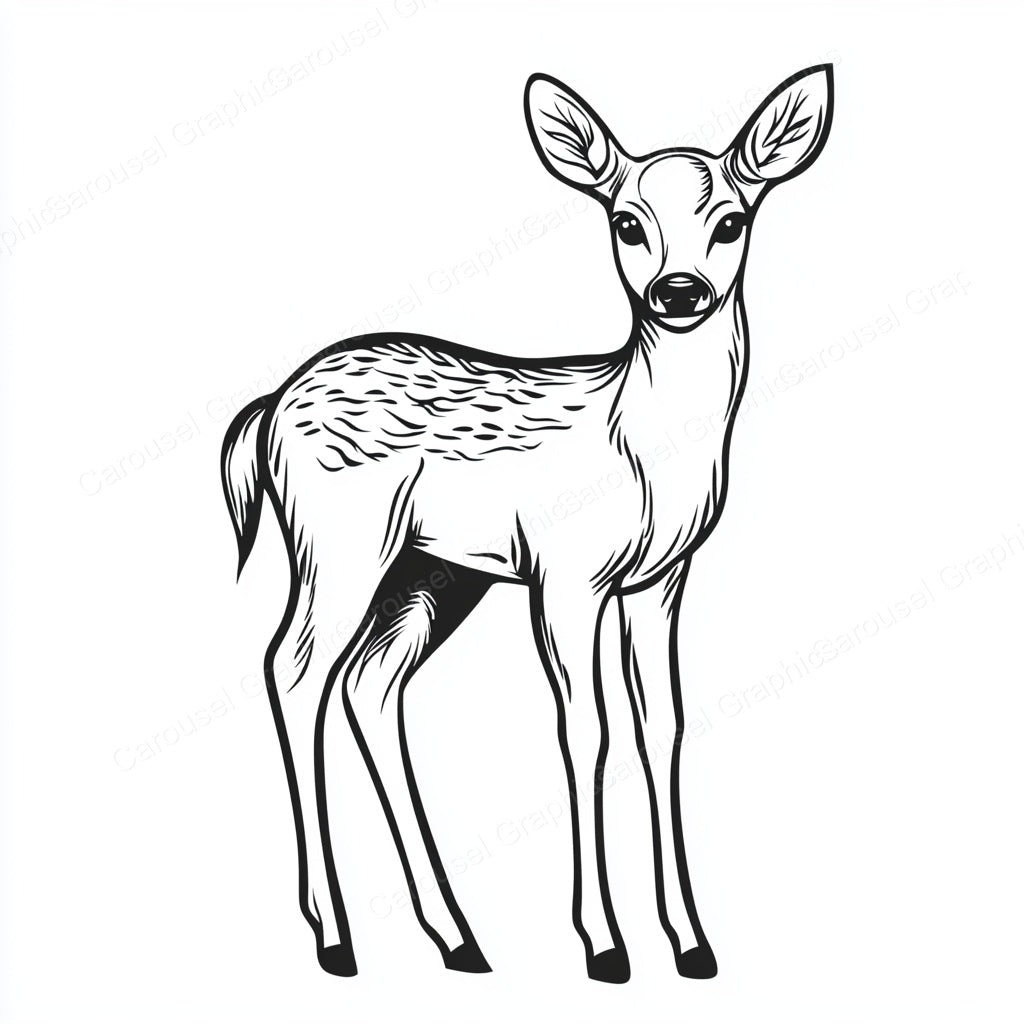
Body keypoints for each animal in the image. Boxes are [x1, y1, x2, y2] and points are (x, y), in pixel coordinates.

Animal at [222, 65, 834, 983]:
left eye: (732, 220)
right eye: (626, 222)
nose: (679, 292)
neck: (641, 445)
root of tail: (269, 408)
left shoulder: (661, 580)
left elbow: (661, 726)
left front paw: (692, 942)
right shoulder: (566, 571)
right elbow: (587, 730)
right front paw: (605, 945)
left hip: (432, 571)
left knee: (371, 683)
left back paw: (458, 937)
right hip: (338, 543)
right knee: (292, 670)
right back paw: (336, 938)